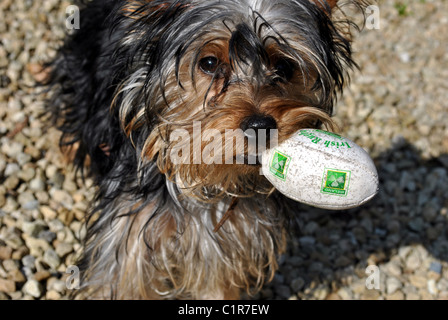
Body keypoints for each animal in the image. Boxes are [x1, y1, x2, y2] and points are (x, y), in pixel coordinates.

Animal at [46, 0, 368, 300]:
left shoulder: (229, 246)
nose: (261, 125)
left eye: (285, 67)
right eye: (210, 63)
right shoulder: (126, 241)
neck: (211, 182)